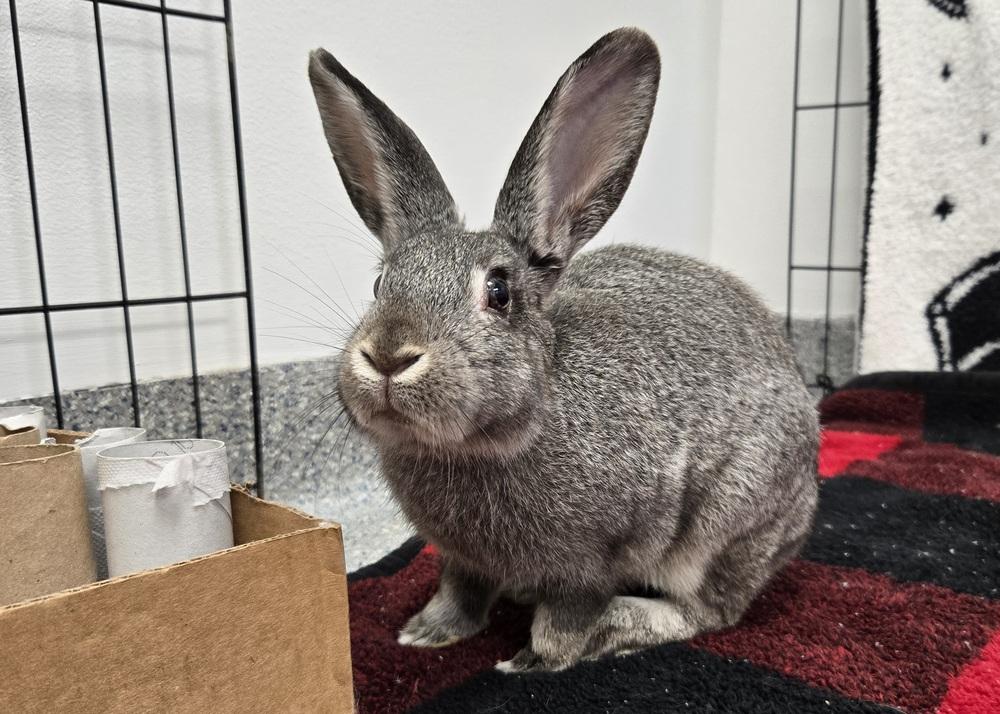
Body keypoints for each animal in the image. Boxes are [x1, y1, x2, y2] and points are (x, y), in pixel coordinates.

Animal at [307, 27, 819, 673]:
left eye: (499, 292)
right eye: (380, 284)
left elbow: (566, 621)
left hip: (726, 522)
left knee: (710, 611)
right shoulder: (460, 560)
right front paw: (427, 632)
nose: (389, 356)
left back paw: (622, 626)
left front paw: (532, 660)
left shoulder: (593, 561)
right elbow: (459, 591)